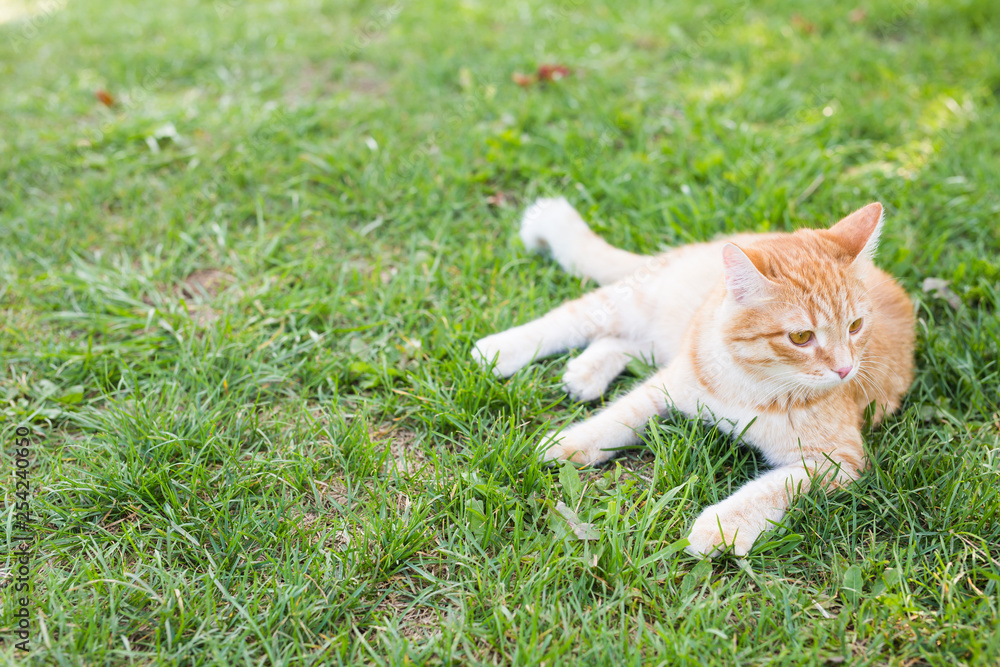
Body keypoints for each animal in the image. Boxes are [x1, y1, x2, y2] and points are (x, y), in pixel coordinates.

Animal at [472, 198, 916, 560]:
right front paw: (569, 443)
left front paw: (723, 525)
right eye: (802, 337)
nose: (845, 369)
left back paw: (586, 372)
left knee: (621, 342)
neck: (751, 382)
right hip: (634, 307)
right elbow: (617, 417)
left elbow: (775, 487)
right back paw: (500, 349)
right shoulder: (669, 385)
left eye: (856, 326)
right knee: (571, 319)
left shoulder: (836, 462)